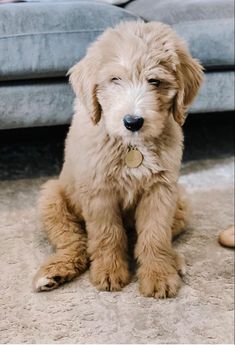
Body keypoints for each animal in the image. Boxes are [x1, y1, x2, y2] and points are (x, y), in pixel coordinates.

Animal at [33, 20, 204, 296]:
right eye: (115, 79)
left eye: (154, 81)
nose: (133, 121)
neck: (131, 145)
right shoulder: (99, 191)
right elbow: (107, 234)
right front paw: (110, 272)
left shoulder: (161, 190)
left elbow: (155, 234)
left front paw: (158, 274)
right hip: (51, 198)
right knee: (73, 241)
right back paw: (55, 272)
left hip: (181, 201)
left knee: (156, 237)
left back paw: (173, 260)